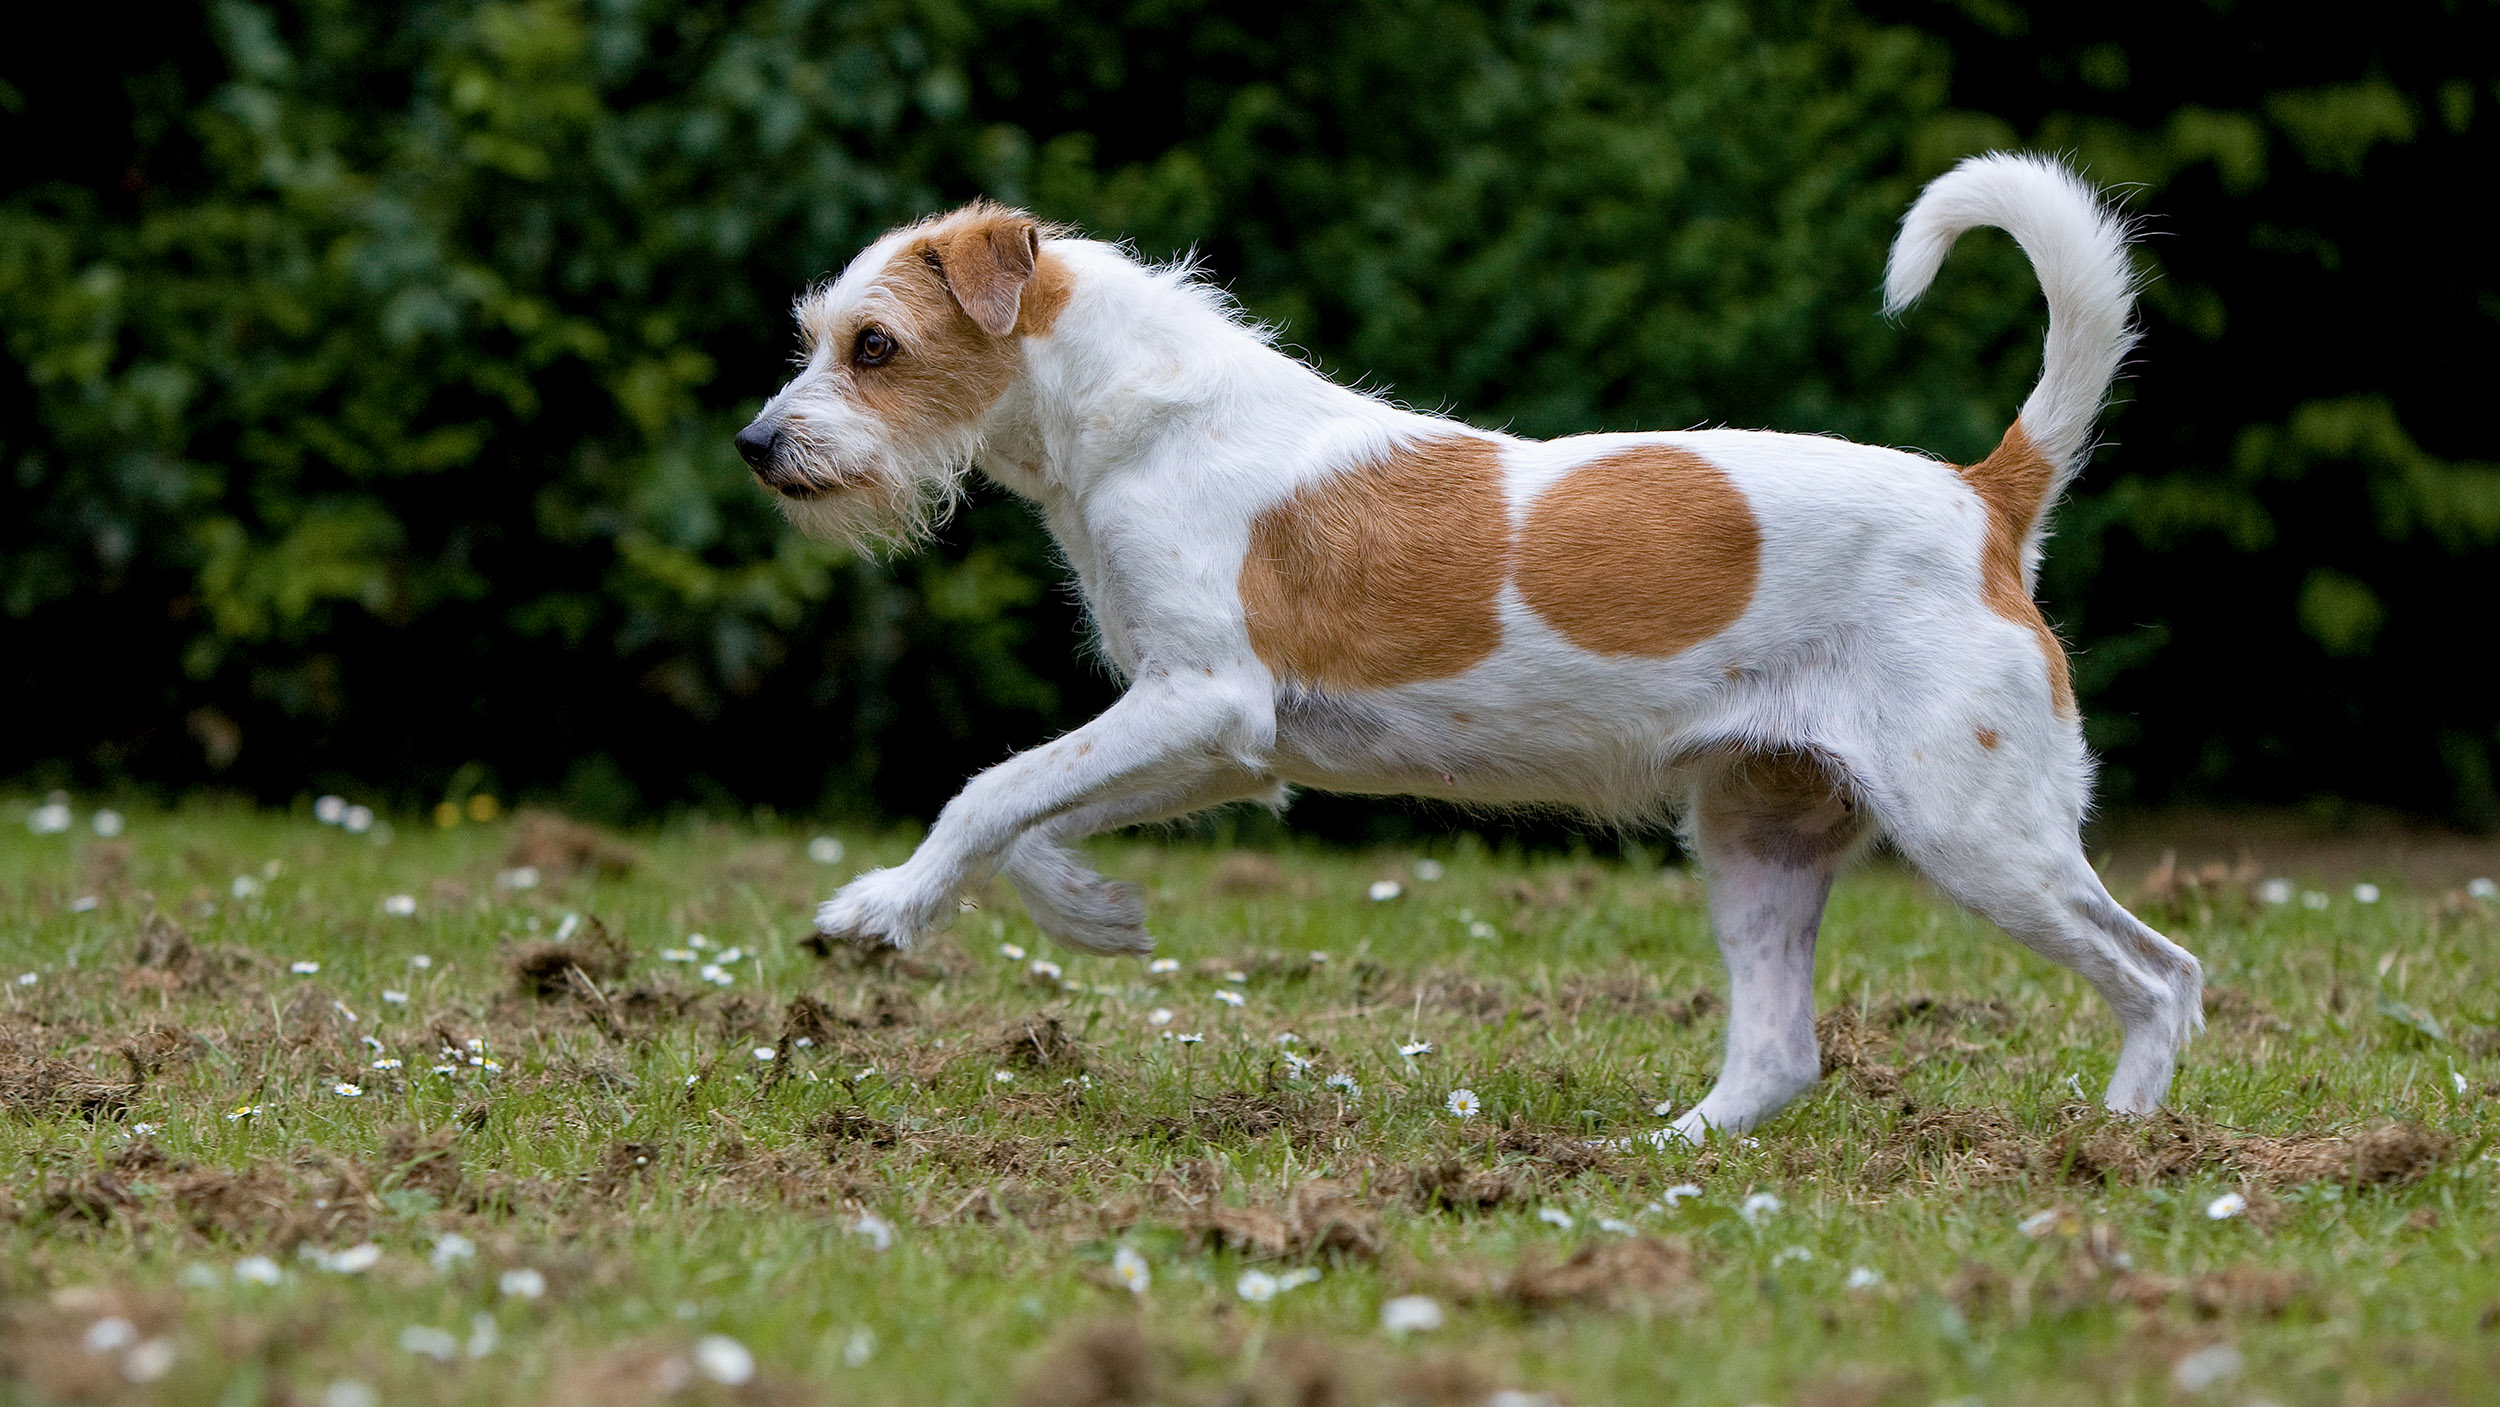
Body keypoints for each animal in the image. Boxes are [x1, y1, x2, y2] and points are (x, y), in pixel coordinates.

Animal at [730, 156, 2200, 1144]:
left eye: (876, 347)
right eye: (815, 338)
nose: (755, 444)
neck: (1141, 417)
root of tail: (1985, 498)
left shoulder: (1202, 700)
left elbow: (989, 789)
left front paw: (880, 907)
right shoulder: (1218, 738)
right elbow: (1034, 816)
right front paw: (1094, 913)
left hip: (1977, 829)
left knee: (2163, 974)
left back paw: (2120, 1143)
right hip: (1762, 835)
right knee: (1780, 1053)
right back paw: (1659, 1155)